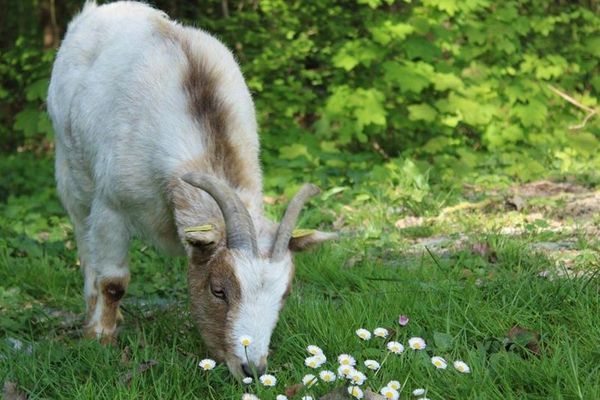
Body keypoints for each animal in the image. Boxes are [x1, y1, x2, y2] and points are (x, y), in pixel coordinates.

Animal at [47, 0, 338, 378]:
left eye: (284, 294)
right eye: (218, 290)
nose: (252, 369)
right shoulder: (112, 205)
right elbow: (112, 281)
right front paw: (99, 340)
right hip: (70, 167)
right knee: (84, 240)